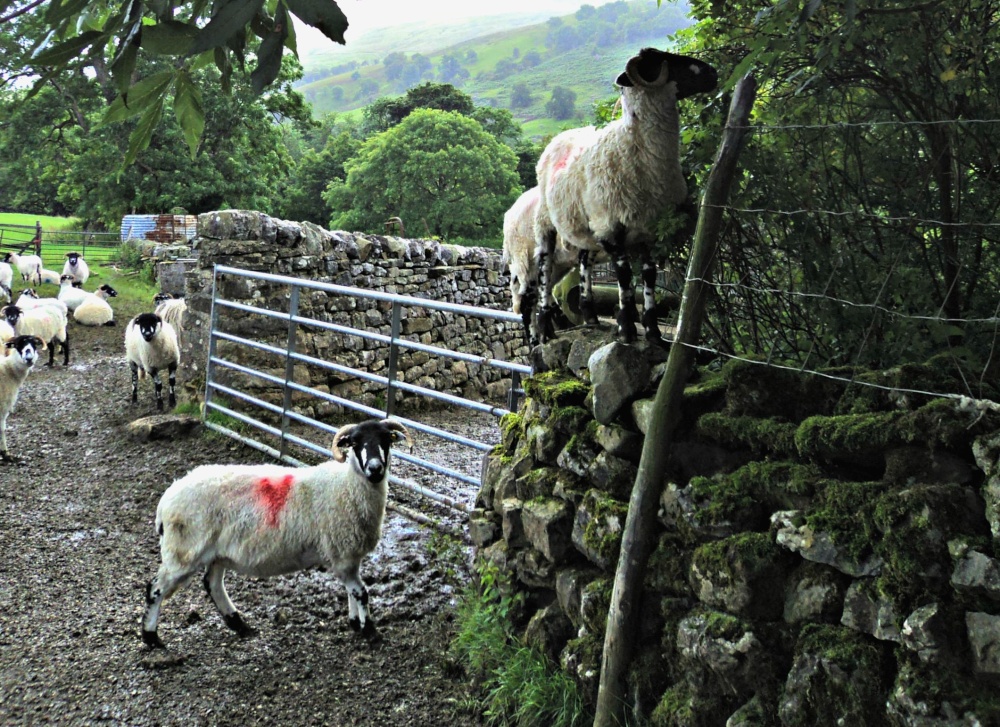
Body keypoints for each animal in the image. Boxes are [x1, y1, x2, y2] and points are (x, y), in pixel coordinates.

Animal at [0, 335, 46, 463]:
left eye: (34, 343)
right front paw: (6, 455)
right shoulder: (3, 407)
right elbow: (2, 429)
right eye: (18, 344)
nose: (29, 358)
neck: (8, 370)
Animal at [140, 418, 412, 648]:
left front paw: (356, 623)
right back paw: (151, 637)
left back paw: (240, 625)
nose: (375, 468)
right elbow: (360, 592)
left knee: (212, 584)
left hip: (215, 552)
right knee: (156, 589)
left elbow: (351, 591)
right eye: (355, 443)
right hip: (183, 550)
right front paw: (371, 632)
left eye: (387, 439)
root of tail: (167, 499)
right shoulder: (341, 553)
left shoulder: (348, 554)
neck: (347, 485)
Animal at [534, 47, 717, 344]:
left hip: (585, 224)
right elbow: (623, 273)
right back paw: (545, 328)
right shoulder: (611, 227)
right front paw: (627, 329)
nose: (712, 73)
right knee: (544, 268)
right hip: (546, 223)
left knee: (584, 262)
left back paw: (590, 316)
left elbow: (648, 276)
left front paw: (653, 332)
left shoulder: (650, 229)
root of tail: (559, 139)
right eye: (665, 62)